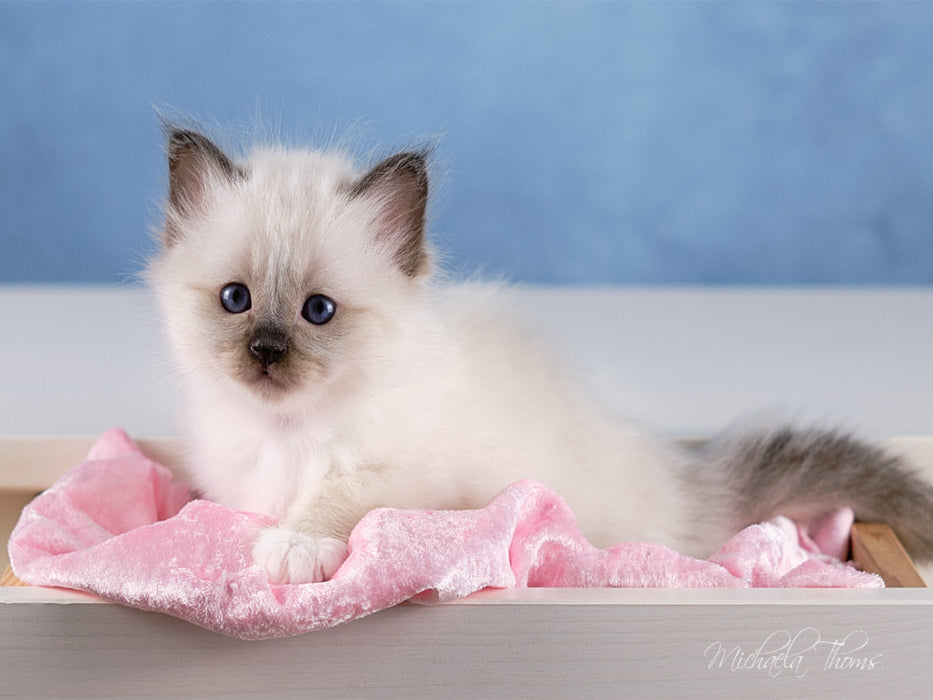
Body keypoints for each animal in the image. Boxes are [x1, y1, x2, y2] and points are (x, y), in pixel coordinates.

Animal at [149, 127, 932, 584]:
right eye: (236, 300)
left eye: (318, 311)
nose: (266, 351)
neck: (286, 434)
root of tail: (686, 482)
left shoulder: (408, 483)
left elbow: (335, 499)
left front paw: (292, 548)